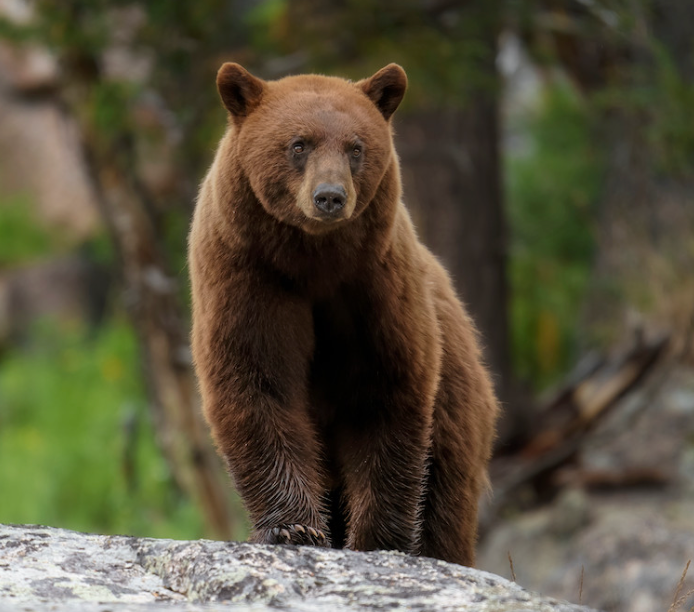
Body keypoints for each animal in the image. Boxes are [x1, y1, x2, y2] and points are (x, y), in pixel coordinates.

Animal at [188, 62, 499, 567]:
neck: (313, 260)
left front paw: (378, 539)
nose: (330, 197)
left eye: (356, 147)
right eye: (299, 144)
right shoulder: (249, 276)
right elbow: (257, 382)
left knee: (446, 499)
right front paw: (293, 527)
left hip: (458, 402)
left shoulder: (374, 286)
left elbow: (385, 391)